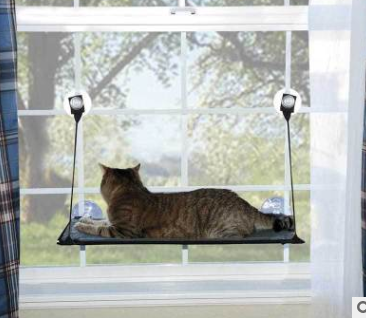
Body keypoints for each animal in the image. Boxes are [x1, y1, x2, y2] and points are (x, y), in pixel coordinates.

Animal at [76, 164, 294, 238]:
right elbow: (99, 221)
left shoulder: (123, 231)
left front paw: (82, 225)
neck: (130, 191)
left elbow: (99, 228)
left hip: (221, 229)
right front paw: (84, 219)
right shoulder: (113, 223)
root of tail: (244, 203)